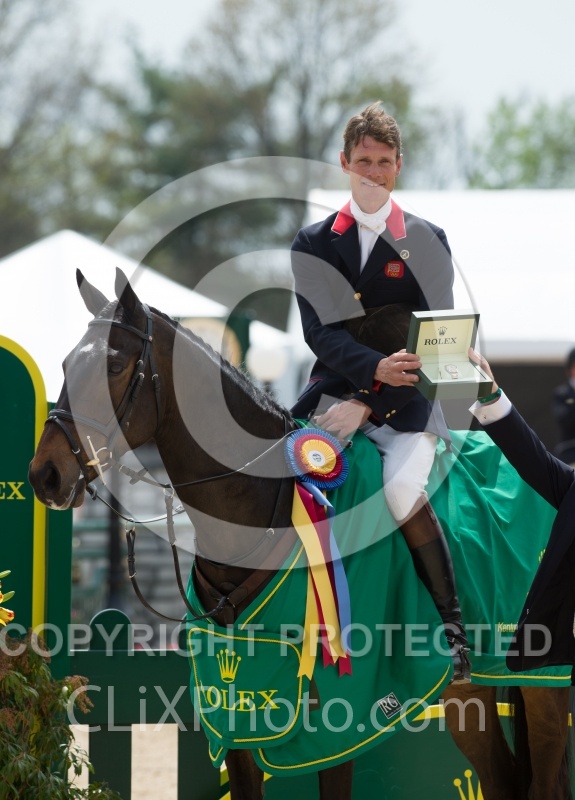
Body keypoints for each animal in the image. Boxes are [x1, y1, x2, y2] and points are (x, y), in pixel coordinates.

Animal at [28, 269, 572, 800]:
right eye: (65, 364)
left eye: (115, 366)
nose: (44, 476)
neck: (263, 509)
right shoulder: (238, 722)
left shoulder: (340, 722)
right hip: (469, 692)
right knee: (501, 779)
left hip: (543, 680)